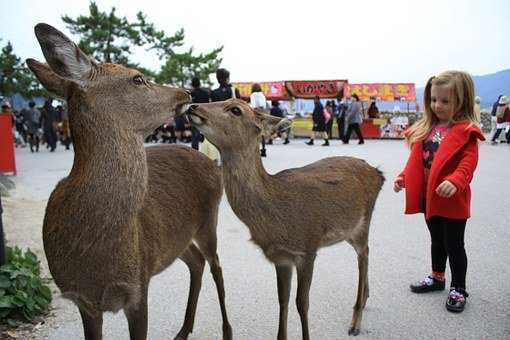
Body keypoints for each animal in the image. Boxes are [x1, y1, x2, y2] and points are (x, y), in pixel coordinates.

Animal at [28, 23, 232, 340]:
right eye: (137, 78)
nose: (185, 92)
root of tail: (212, 163)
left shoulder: (138, 287)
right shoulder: (83, 300)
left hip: (209, 219)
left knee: (217, 267)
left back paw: (226, 330)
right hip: (175, 238)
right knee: (197, 262)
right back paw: (184, 329)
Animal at [186, 98, 382, 338]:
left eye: (236, 110)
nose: (193, 106)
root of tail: (379, 174)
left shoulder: (308, 248)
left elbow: (302, 303)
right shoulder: (281, 258)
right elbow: (282, 300)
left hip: (363, 222)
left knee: (364, 255)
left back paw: (355, 322)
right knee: (365, 254)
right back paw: (365, 300)